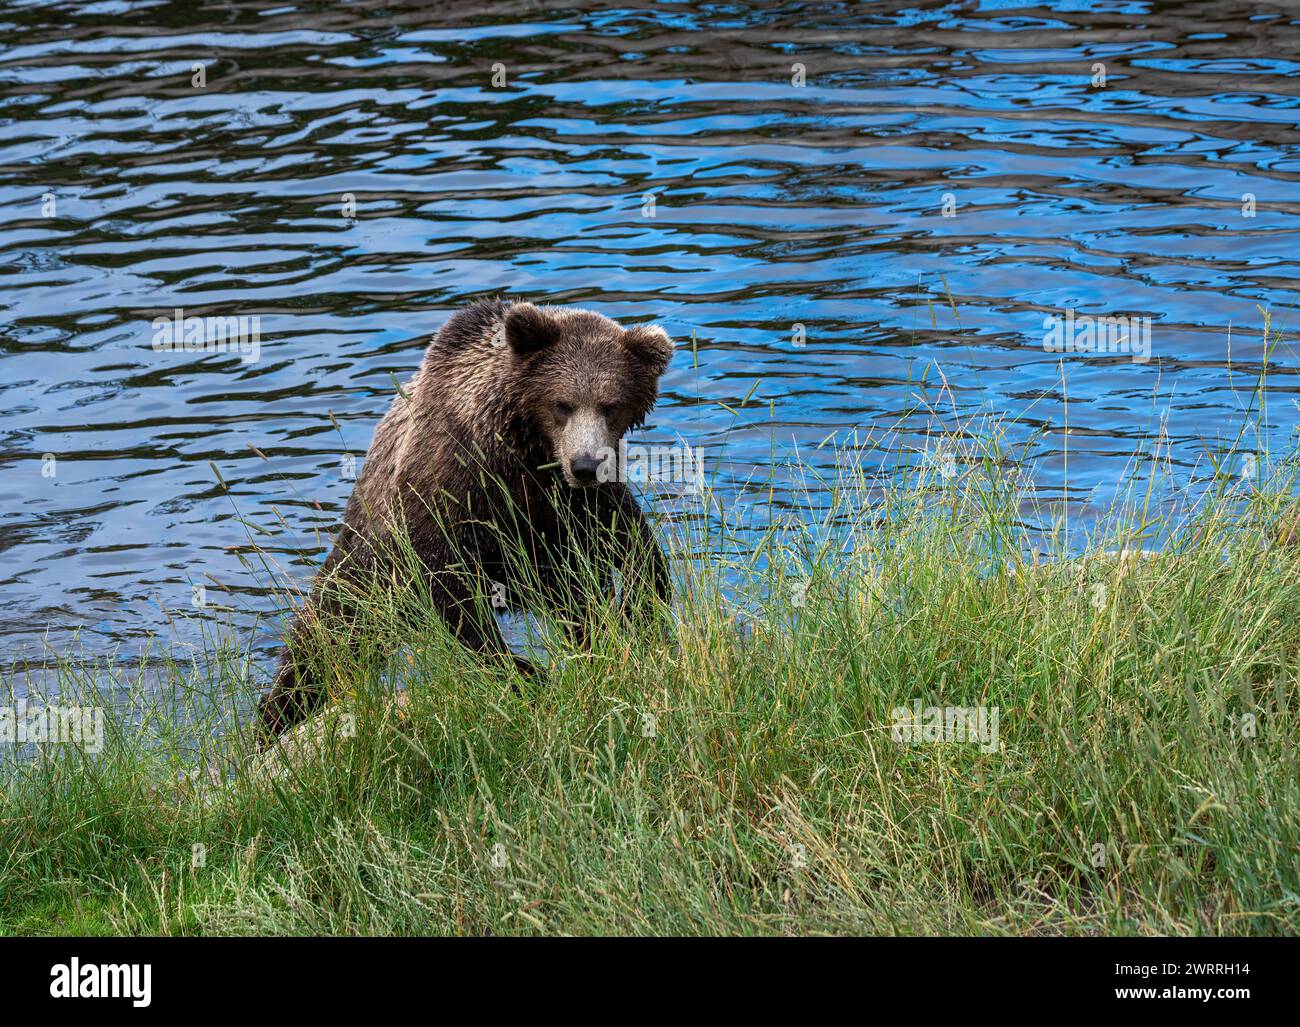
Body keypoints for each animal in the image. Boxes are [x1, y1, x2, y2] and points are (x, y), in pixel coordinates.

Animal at [257, 297, 676, 738]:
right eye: (562, 404)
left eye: (610, 406)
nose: (585, 465)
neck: (525, 448)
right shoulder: (453, 489)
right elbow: (450, 588)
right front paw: (525, 672)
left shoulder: (571, 506)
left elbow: (631, 542)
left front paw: (636, 612)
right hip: (364, 570)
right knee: (323, 644)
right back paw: (272, 722)